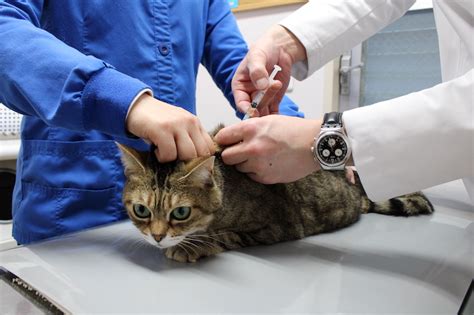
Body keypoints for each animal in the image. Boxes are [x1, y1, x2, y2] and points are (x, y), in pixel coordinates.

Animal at [117, 130, 434, 262]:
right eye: (141, 210)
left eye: (180, 213)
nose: (157, 237)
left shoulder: (277, 227)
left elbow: (225, 235)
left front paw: (192, 246)